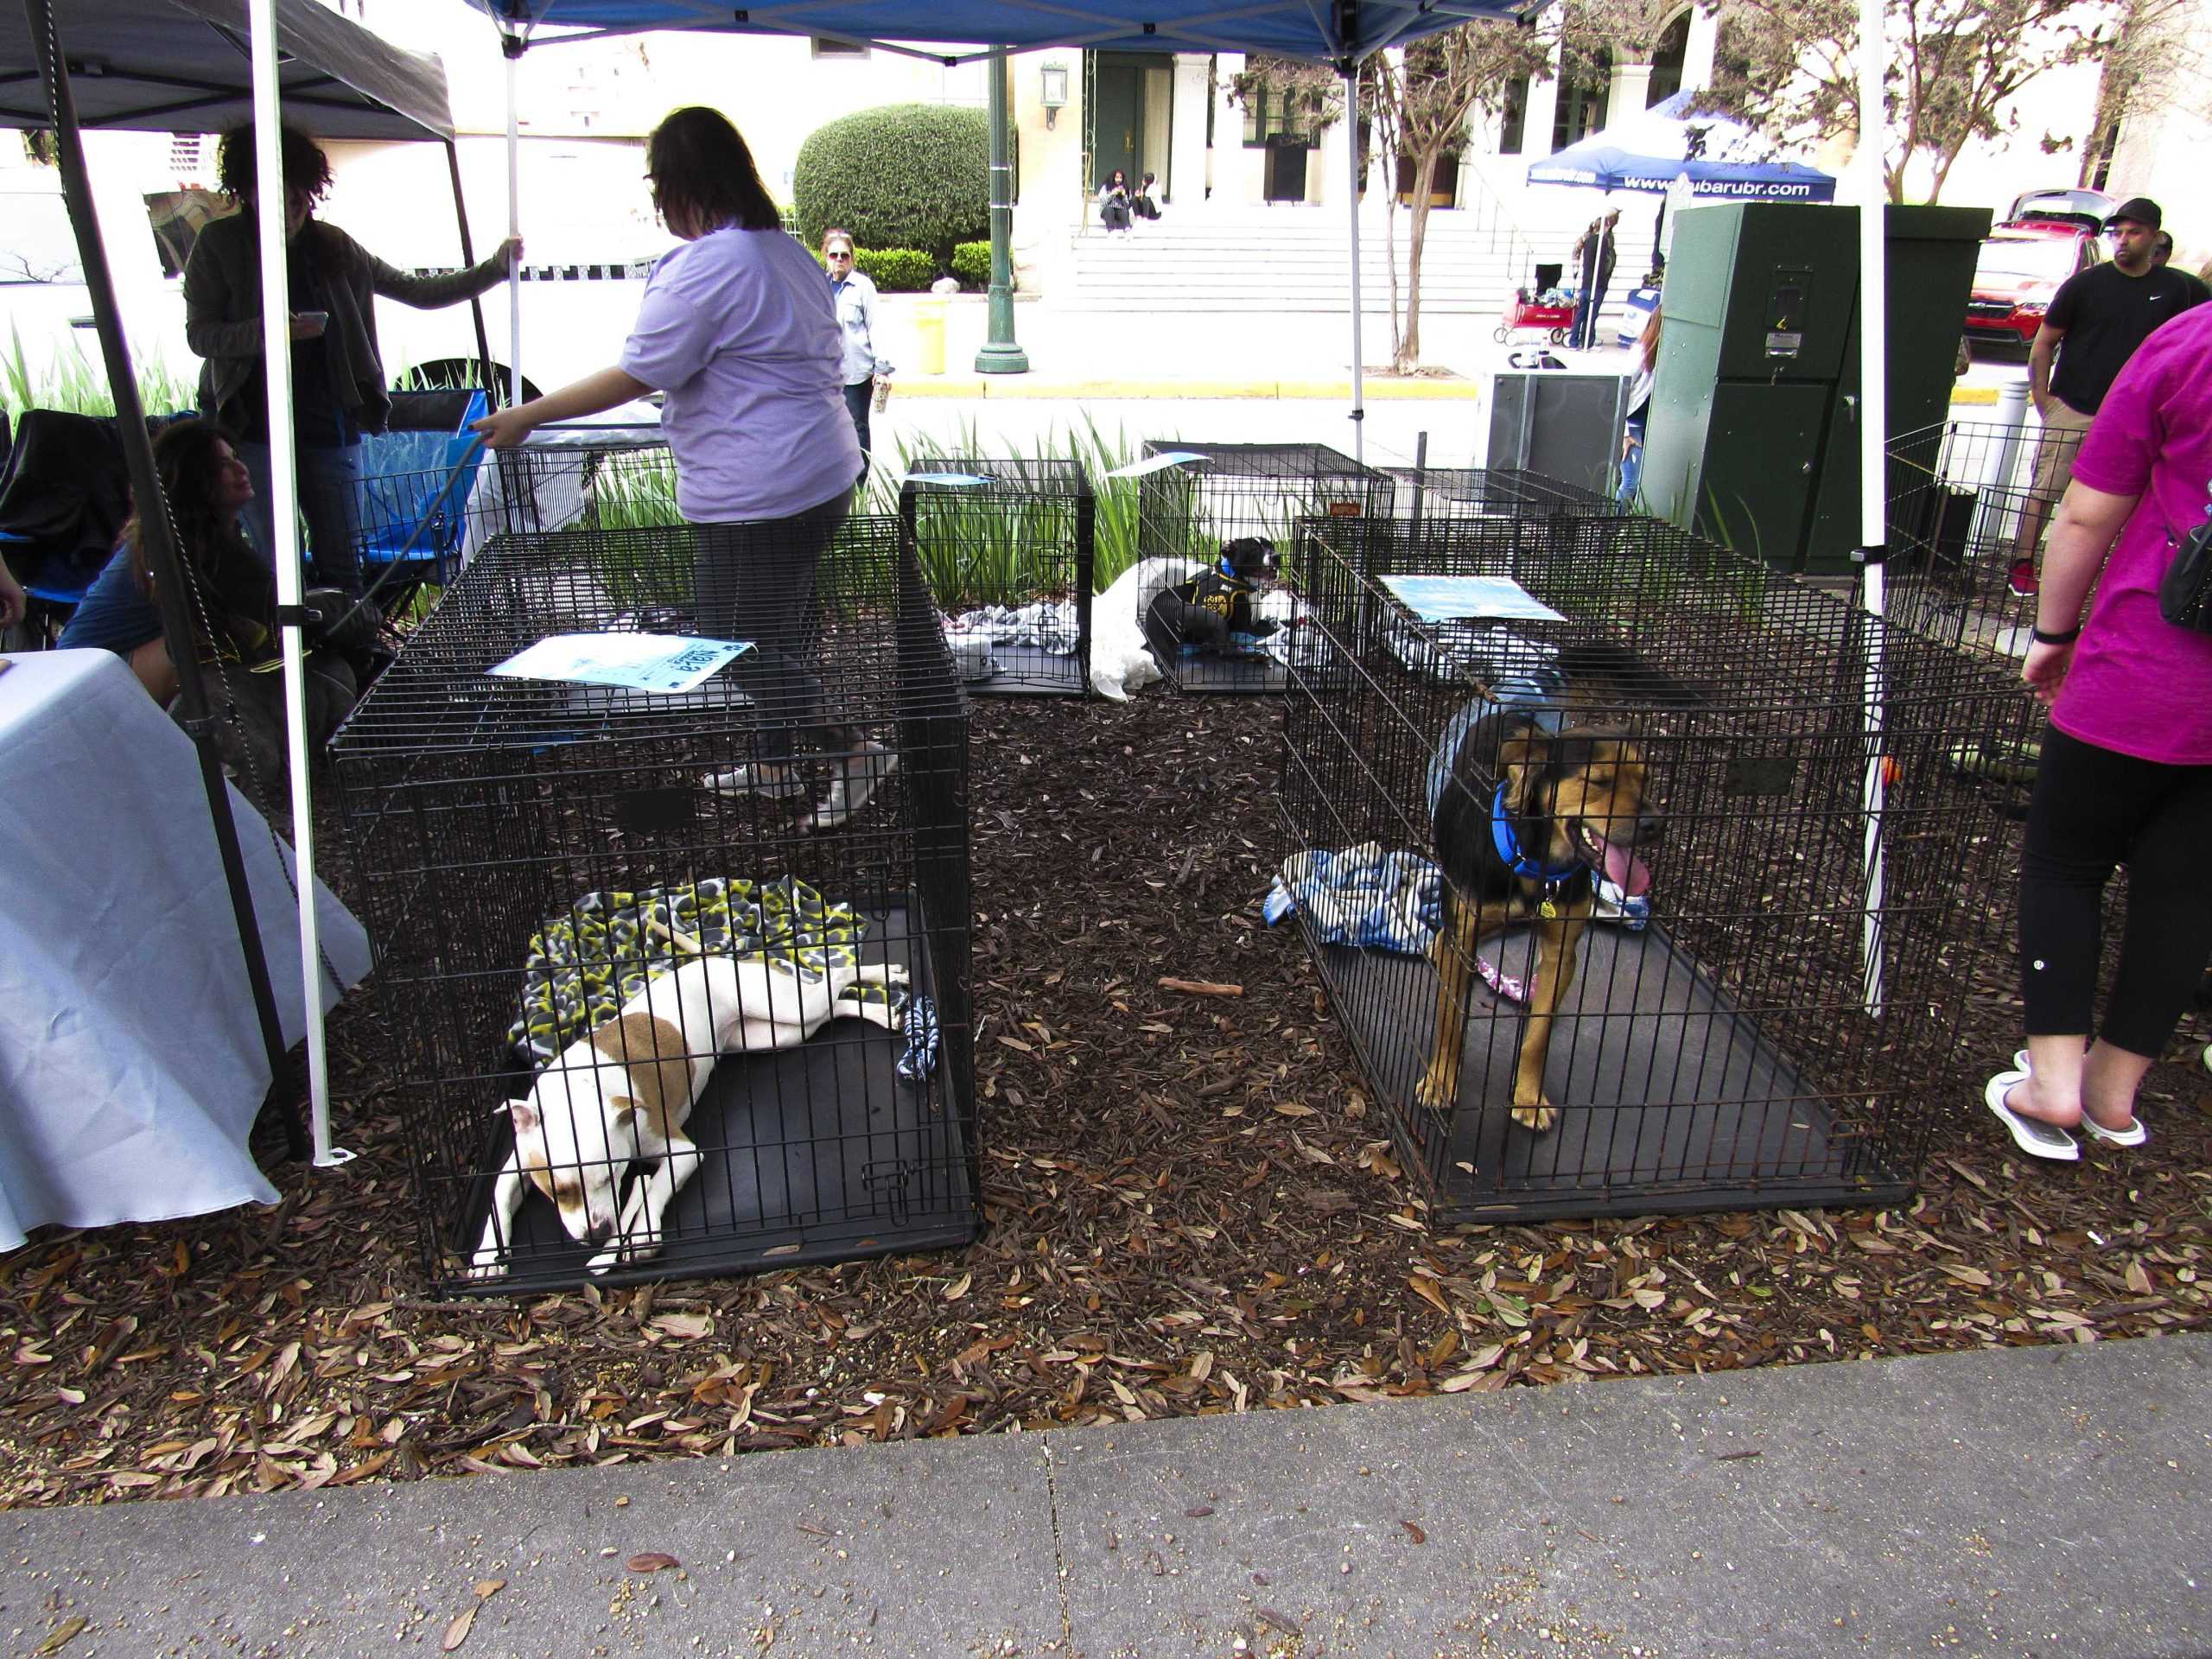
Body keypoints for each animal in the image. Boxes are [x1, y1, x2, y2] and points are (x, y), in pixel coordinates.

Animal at [471, 946, 902, 1282]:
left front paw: (641, 1233)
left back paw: (884, 973)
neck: (580, 1094)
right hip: (772, 1033)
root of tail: (712, 960)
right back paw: (883, 1010)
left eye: (614, 1174)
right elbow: (497, 1202)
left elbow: (654, 1189)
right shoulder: (517, 1163)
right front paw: (486, 1257)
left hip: (783, 1007)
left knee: (835, 976)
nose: (598, 1232)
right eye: (557, 1191)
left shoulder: (681, 1151)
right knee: (833, 1005)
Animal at [1415, 703, 1663, 1132]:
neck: (1536, 861)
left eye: (1645, 777)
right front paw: (1440, 1081)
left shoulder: (1561, 951)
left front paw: (1529, 1097)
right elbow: (1450, 1018)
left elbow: (1539, 1034)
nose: (1655, 824)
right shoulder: (1465, 936)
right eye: (1598, 780)